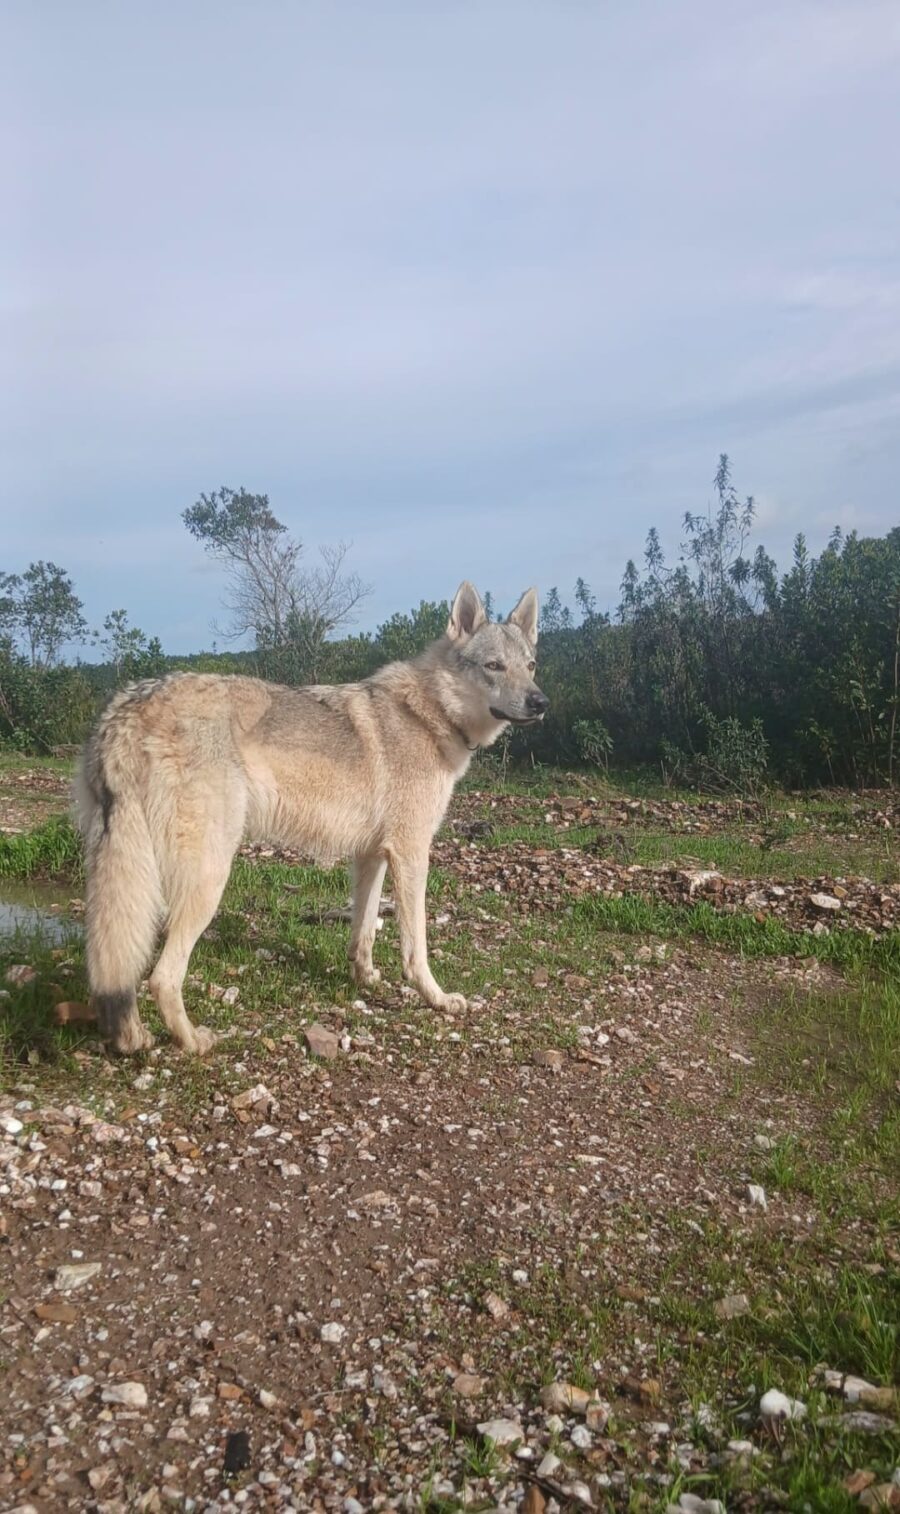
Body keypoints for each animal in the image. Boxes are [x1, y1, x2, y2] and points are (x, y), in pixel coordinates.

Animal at [74, 582, 548, 1055]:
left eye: (530, 666)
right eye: (493, 666)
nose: (540, 702)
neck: (430, 714)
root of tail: (125, 708)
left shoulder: (373, 855)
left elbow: (364, 930)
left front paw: (366, 979)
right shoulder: (411, 853)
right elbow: (416, 946)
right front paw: (438, 999)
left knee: (116, 966)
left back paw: (132, 1037)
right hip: (208, 879)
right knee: (161, 977)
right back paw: (193, 1041)